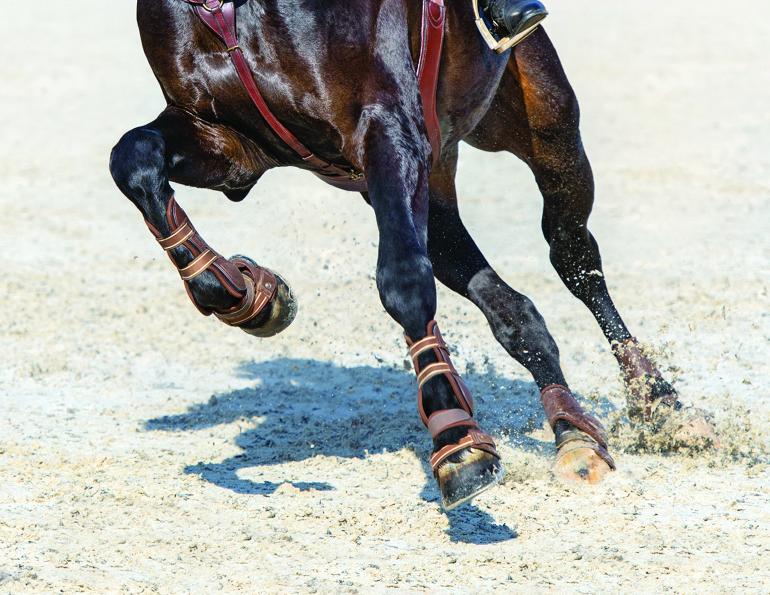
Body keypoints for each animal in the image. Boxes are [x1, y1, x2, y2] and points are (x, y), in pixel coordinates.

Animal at [110, 0, 713, 510]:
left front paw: (455, 437)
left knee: (574, 259)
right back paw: (572, 431)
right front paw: (247, 293)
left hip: (545, 126)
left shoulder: (387, 129)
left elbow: (402, 281)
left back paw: (660, 404)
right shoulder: (231, 144)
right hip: (433, 175)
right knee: (511, 309)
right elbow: (133, 158)